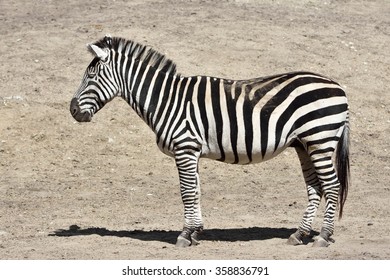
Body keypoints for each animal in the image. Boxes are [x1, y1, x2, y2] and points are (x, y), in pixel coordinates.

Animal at [70, 35, 350, 247]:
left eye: (91, 77)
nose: (72, 110)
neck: (166, 100)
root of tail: (338, 86)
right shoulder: (191, 151)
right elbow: (195, 190)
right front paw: (195, 232)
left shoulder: (184, 147)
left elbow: (186, 191)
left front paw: (185, 235)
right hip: (304, 144)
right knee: (315, 188)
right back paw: (299, 234)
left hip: (320, 140)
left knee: (332, 186)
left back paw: (323, 237)